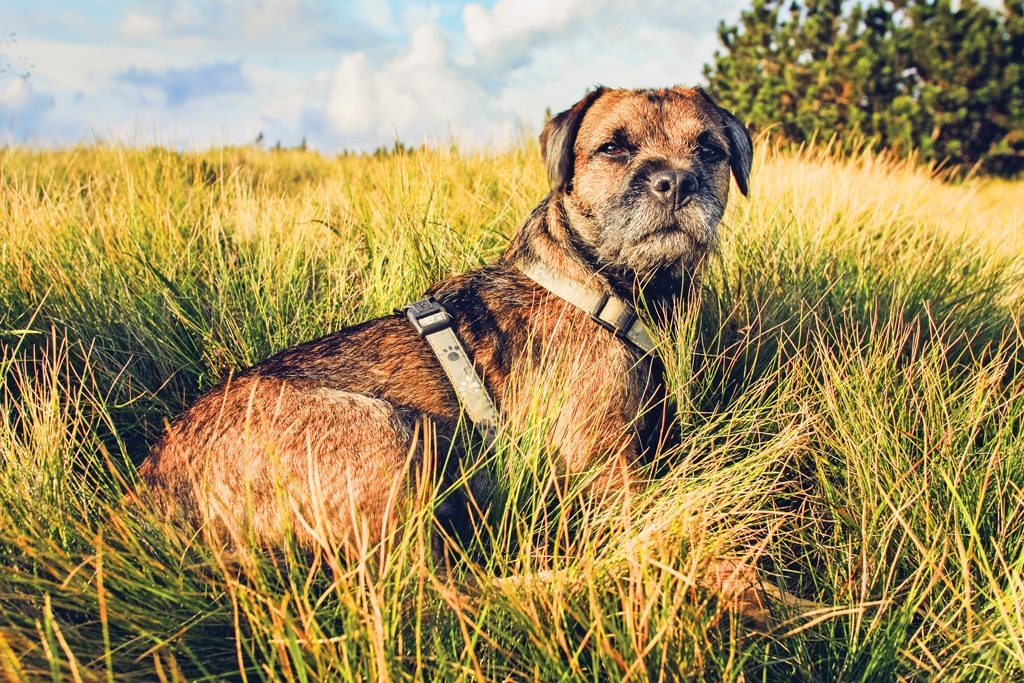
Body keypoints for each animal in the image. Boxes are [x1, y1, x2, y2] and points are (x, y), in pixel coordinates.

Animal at [138, 85, 753, 557]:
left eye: (709, 149)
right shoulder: (606, 469)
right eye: (613, 148)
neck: (600, 286)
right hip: (388, 433)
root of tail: (154, 482)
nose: (676, 182)